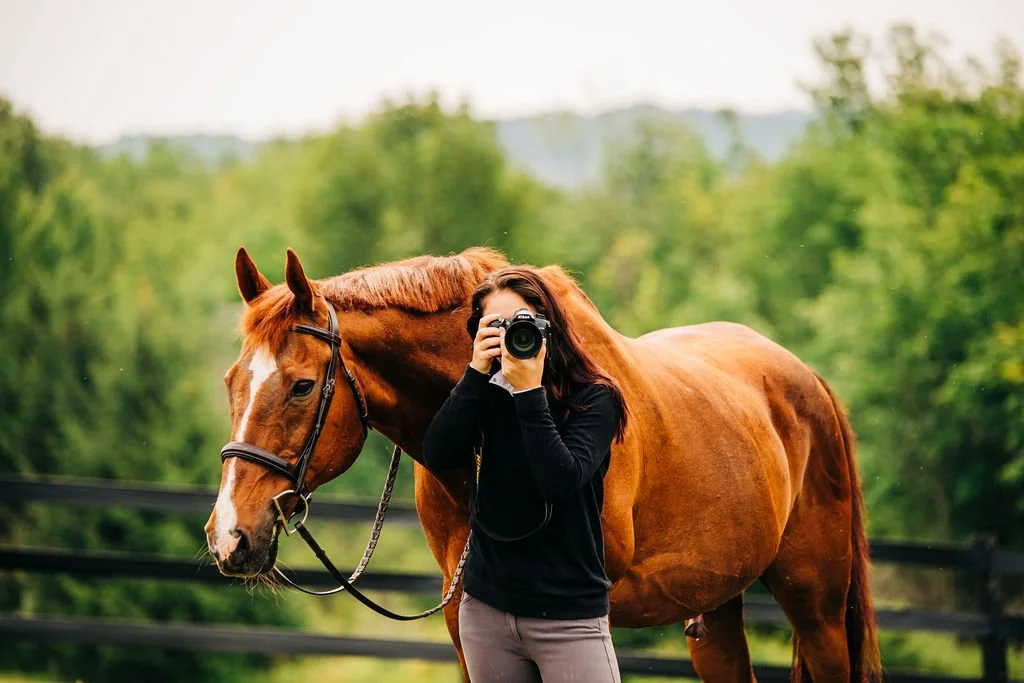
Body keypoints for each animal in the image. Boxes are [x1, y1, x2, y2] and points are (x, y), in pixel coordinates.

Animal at [204, 245, 881, 682]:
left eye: (300, 386)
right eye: (232, 381)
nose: (230, 536)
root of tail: (807, 378)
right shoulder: (465, 625)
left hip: (817, 607)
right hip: (716, 609)